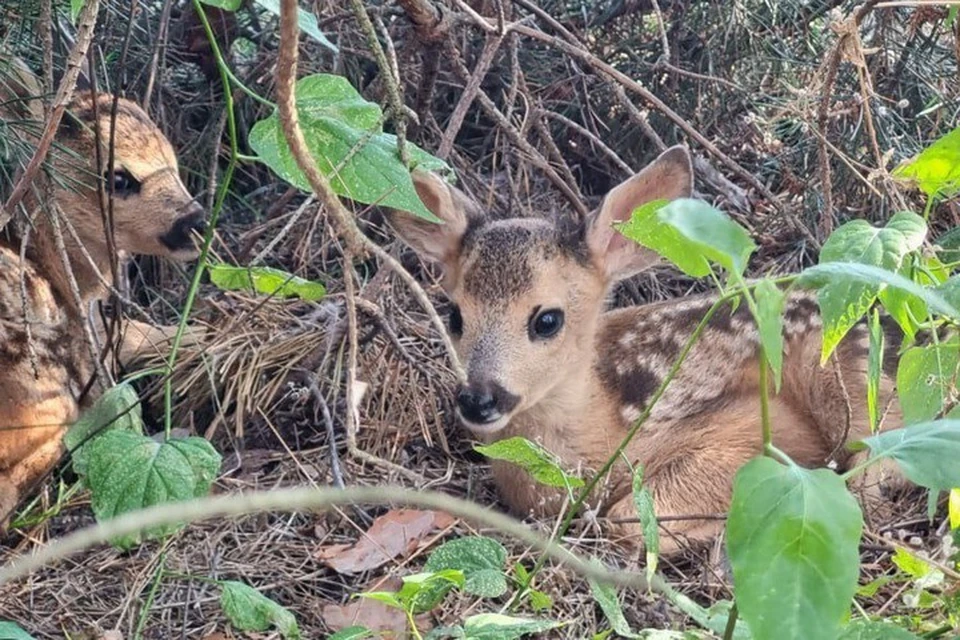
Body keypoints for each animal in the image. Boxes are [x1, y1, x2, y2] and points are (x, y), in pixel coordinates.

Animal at [388, 145, 908, 556]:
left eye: (547, 319)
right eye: (454, 314)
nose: (478, 398)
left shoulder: (752, 427)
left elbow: (628, 520)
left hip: (842, 375)